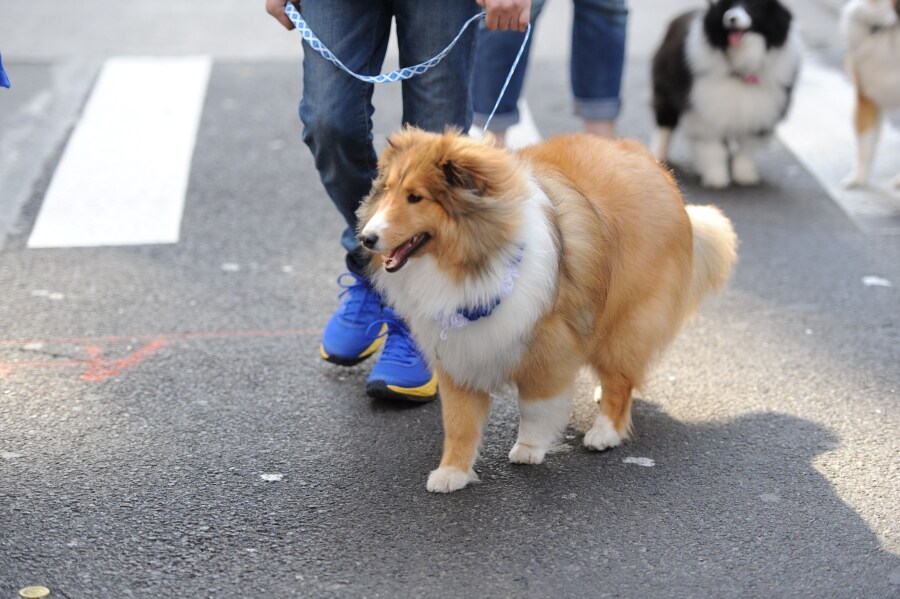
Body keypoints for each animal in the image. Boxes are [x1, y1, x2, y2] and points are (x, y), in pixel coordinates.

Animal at [354, 129, 740, 494]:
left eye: (415, 197)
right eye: (387, 190)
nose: (366, 239)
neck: (471, 262)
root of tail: (655, 166)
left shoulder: (548, 345)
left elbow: (535, 405)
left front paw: (529, 448)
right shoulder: (458, 354)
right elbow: (459, 423)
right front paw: (452, 473)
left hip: (628, 318)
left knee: (620, 378)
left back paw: (604, 432)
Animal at [652, 0, 804, 188]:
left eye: (755, 5)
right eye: (728, 5)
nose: (731, 18)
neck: (741, 68)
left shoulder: (759, 111)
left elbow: (746, 148)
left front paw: (744, 175)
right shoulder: (706, 110)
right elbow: (714, 147)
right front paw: (717, 177)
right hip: (666, 92)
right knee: (665, 126)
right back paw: (659, 156)